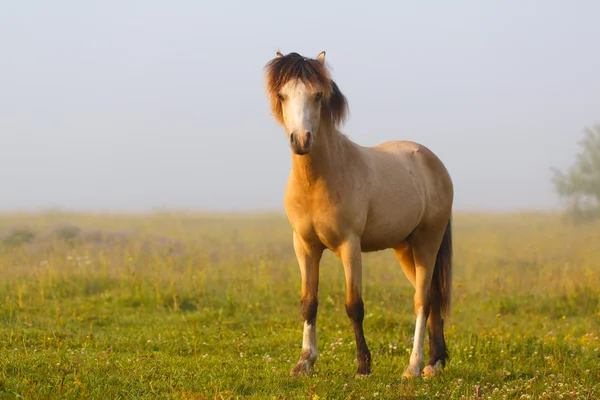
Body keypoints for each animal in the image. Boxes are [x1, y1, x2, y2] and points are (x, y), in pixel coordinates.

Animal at [260, 49, 452, 378]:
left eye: (317, 95)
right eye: (282, 95)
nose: (301, 140)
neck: (318, 180)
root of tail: (434, 162)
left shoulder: (349, 246)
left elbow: (354, 306)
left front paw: (363, 365)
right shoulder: (305, 247)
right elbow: (308, 302)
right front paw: (304, 362)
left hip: (428, 242)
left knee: (422, 300)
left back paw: (414, 366)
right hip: (406, 248)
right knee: (433, 298)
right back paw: (434, 362)